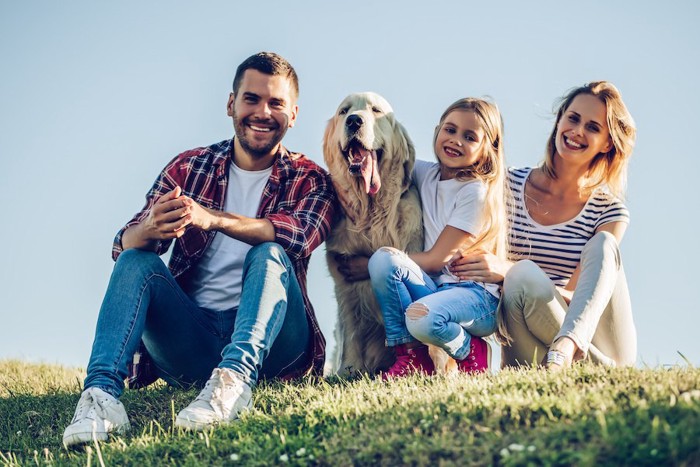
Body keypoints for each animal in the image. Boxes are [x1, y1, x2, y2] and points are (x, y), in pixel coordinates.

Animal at [326, 92, 456, 376]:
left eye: (375, 110)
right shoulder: (344, 284)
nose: (354, 121)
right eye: (344, 111)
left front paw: (434, 368)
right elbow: (351, 331)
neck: (371, 214)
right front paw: (348, 370)